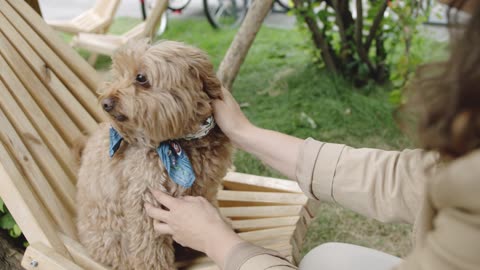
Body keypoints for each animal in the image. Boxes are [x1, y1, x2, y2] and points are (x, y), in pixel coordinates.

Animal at [76, 40, 232, 270]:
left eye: (141, 78)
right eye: (119, 74)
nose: (105, 103)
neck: (180, 140)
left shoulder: (207, 188)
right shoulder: (144, 199)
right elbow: (150, 246)